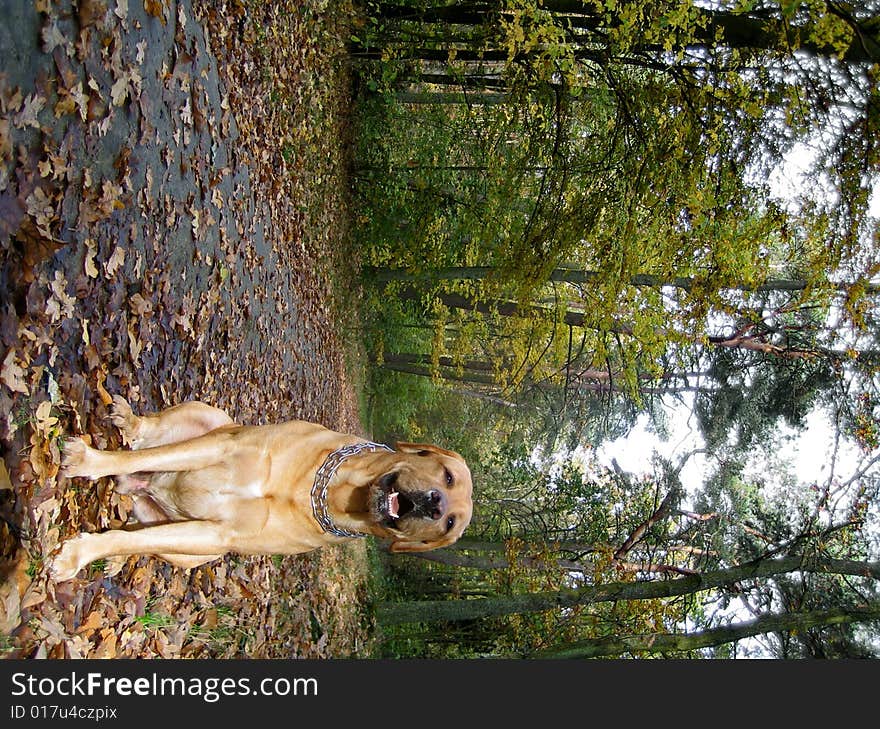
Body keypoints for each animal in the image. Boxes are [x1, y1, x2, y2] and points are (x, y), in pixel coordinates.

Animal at [50, 392, 470, 580]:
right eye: (446, 475)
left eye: (448, 526)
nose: (435, 504)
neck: (327, 492)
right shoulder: (222, 445)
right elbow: (137, 458)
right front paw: (91, 461)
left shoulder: (218, 537)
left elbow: (133, 541)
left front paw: (87, 554)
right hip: (211, 416)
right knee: (146, 443)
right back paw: (130, 421)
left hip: (192, 556)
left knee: (144, 535)